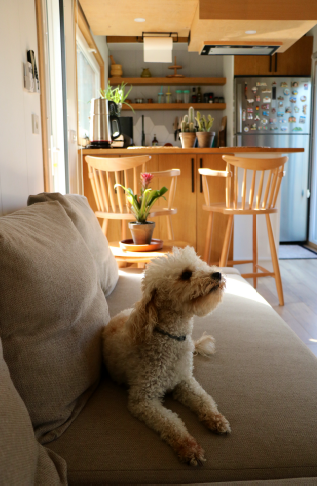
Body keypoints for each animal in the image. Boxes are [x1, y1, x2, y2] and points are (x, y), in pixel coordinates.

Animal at [102, 249, 228, 466]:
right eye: (186, 274)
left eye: (201, 265)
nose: (217, 274)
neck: (171, 337)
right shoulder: (144, 399)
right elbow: (171, 422)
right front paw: (189, 447)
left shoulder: (185, 381)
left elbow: (204, 399)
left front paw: (215, 418)